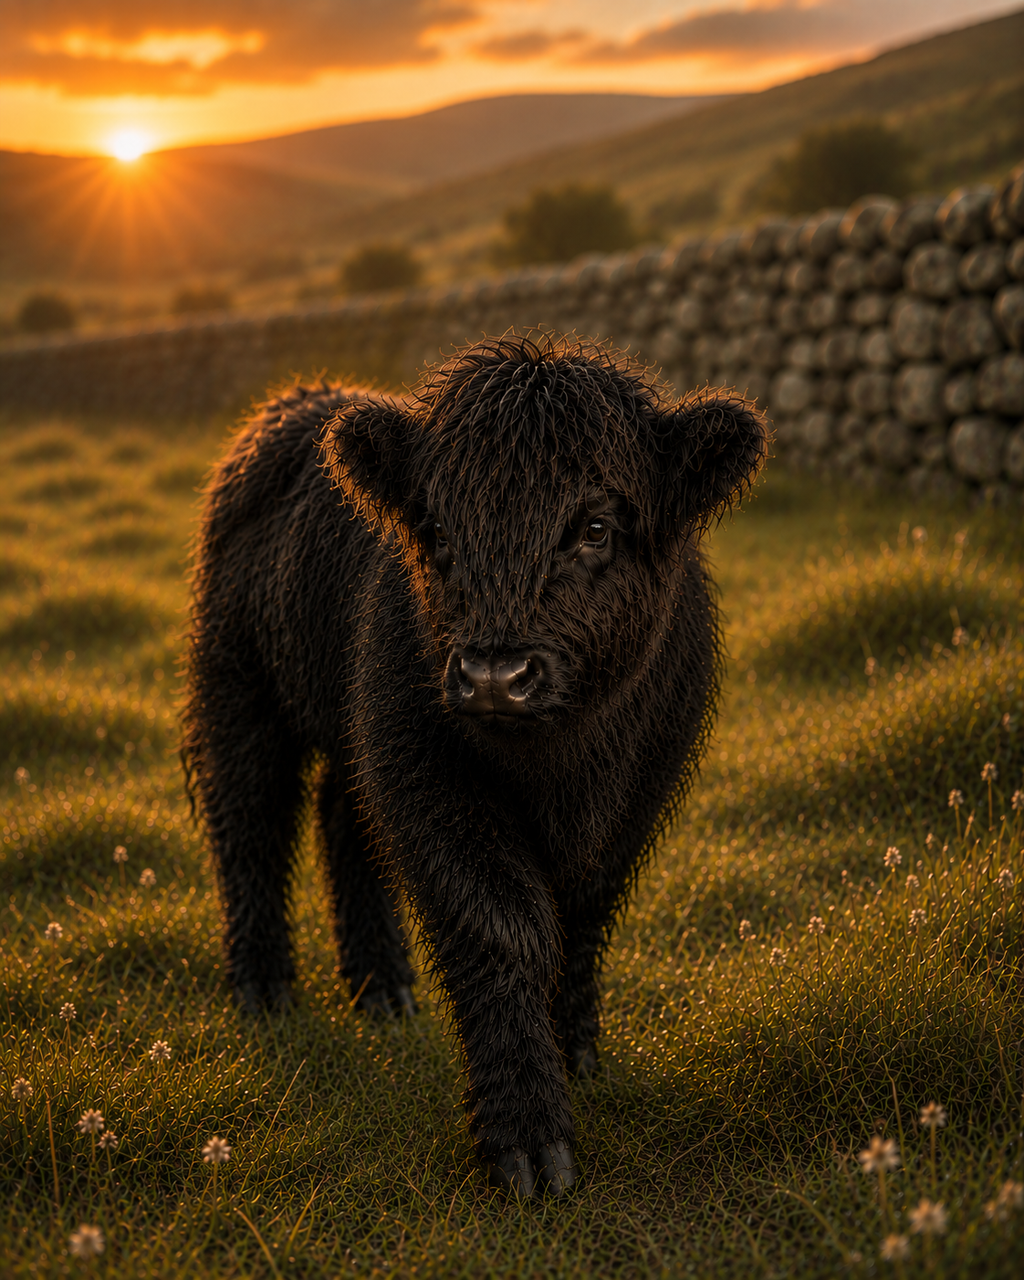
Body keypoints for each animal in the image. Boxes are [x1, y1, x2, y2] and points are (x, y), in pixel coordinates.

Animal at [183, 335, 768, 1198]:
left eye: (596, 526)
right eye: (434, 528)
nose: (495, 675)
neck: (563, 761)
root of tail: (303, 399)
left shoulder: (636, 796)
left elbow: (580, 921)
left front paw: (577, 1057)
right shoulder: (431, 779)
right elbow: (502, 924)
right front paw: (527, 1143)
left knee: (341, 818)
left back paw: (384, 990)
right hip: (238, 690)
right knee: (250, 821)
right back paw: (265, 991)